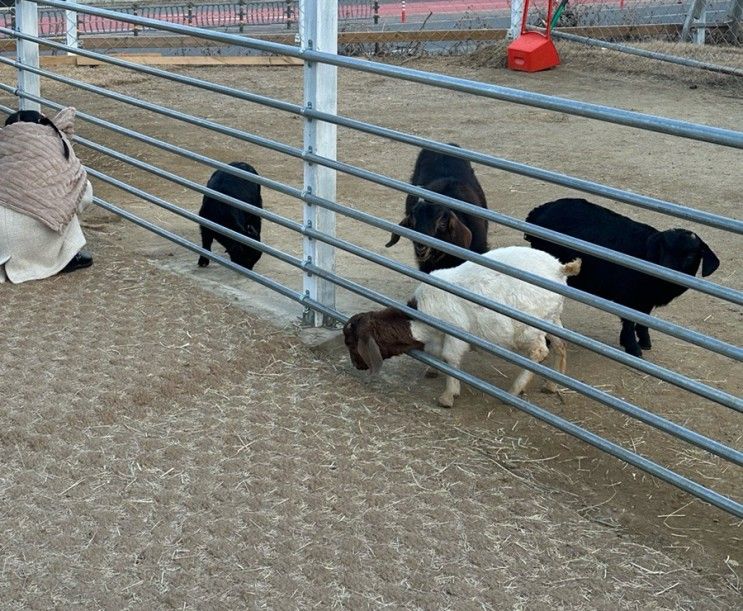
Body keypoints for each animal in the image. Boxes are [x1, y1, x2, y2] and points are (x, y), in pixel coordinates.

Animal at [524, 198, 720, 356]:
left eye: (691, 256)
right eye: (663, 249)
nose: (666, 270)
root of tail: (538, 211)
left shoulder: (645, 300)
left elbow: (642, 320)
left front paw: (644, 341)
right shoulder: (629, 297)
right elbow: (629, 321)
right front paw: (633, 347)